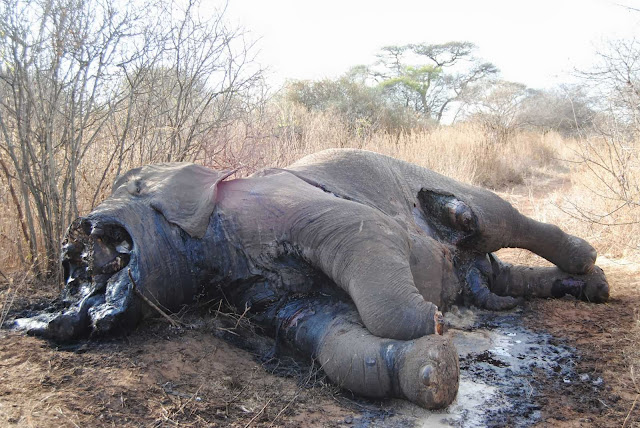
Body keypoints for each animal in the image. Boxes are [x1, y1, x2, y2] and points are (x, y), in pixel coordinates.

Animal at [12, 149, 608, 410]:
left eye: (93, 236)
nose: (69, 257)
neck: (209, 241)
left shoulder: (270, 206)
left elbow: (368, 237)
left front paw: (432, 323)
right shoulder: (257, 291)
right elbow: (328, 337)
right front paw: (433, 369)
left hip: (437, 185)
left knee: (491, 216)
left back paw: (584, 263)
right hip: (482, 274)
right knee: (497, 278)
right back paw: (587, 286)